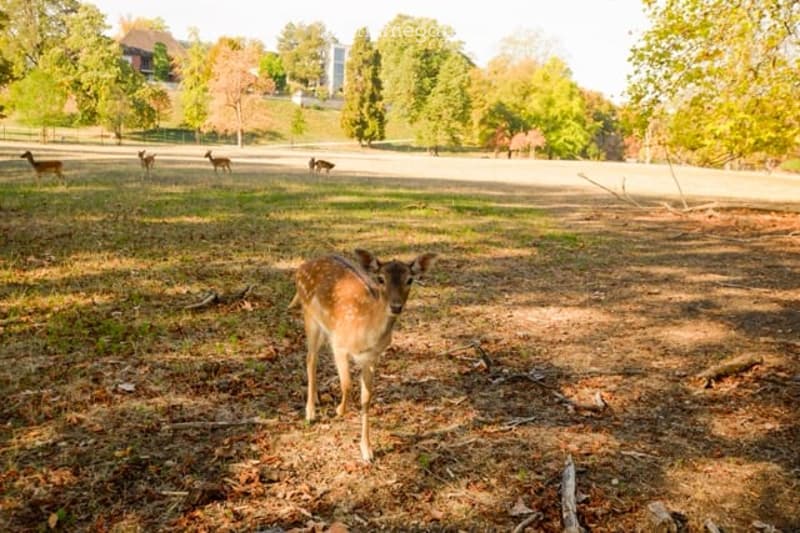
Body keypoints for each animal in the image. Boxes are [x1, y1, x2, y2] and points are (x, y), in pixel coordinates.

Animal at [289, 249, 437, 462]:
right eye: (381, 279)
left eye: (410, 279)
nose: (396, 306)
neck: (365, 333)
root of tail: (301, 267)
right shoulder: (339, 345)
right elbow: (347, 385)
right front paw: (339, 411)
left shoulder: (372, 357)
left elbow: (366, 398)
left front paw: (367, 451)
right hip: (310, 317)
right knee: (310, 359)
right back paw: (310, 412)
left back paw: (316, 399)